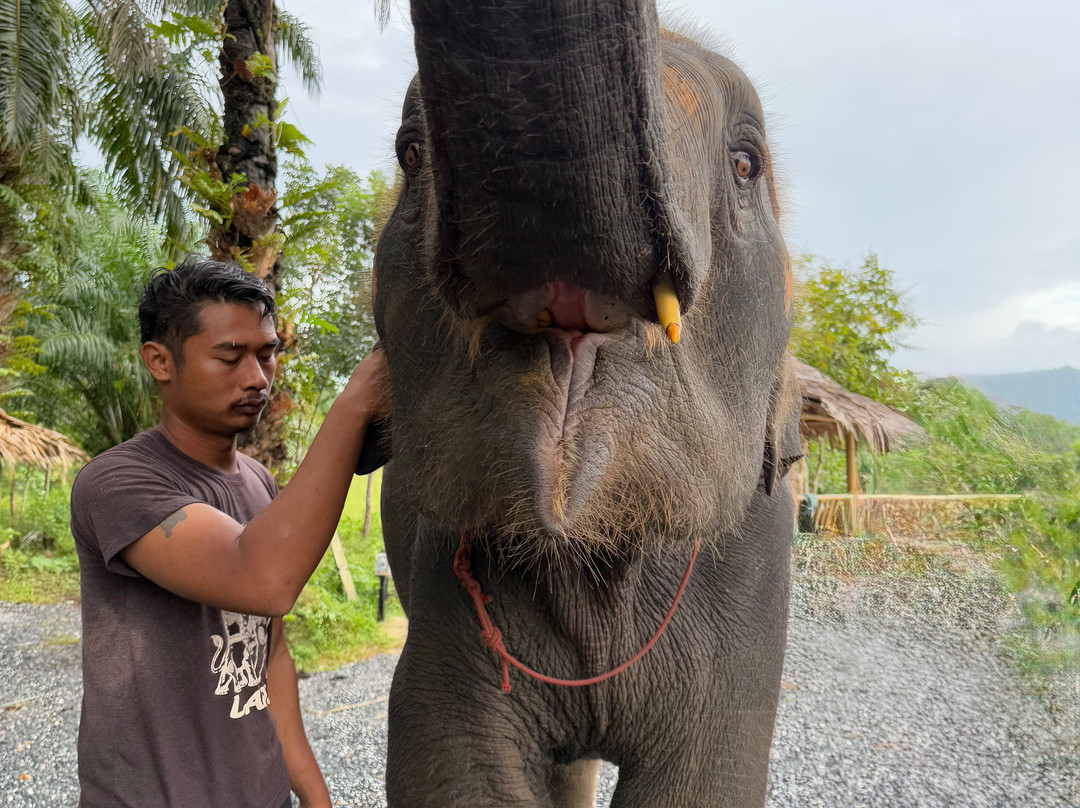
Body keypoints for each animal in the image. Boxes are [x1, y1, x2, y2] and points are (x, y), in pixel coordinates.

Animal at [366, 1, 803, 805]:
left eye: (745, 164)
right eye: (411, 155)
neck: (597, 551)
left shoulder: (757, 574)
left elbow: (705, 779)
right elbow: (450, 765)